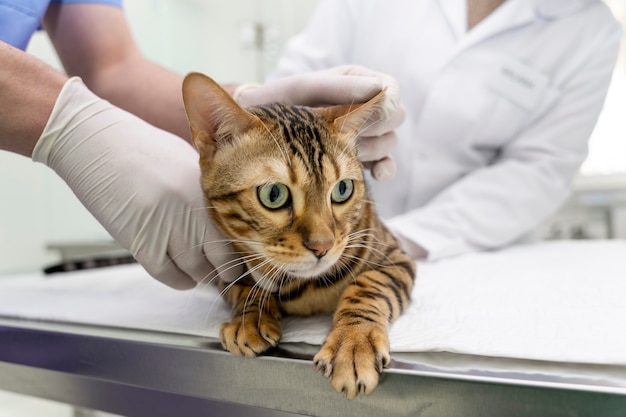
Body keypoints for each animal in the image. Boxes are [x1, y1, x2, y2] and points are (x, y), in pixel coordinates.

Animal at [180, 73, 414, 398]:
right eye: (273, 194)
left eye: (342, 189)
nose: (323, 246)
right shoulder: (224, 264)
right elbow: (244, 286)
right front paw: (249, 317)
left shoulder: (396, 256)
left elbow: (370, 286)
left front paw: (353, 343)